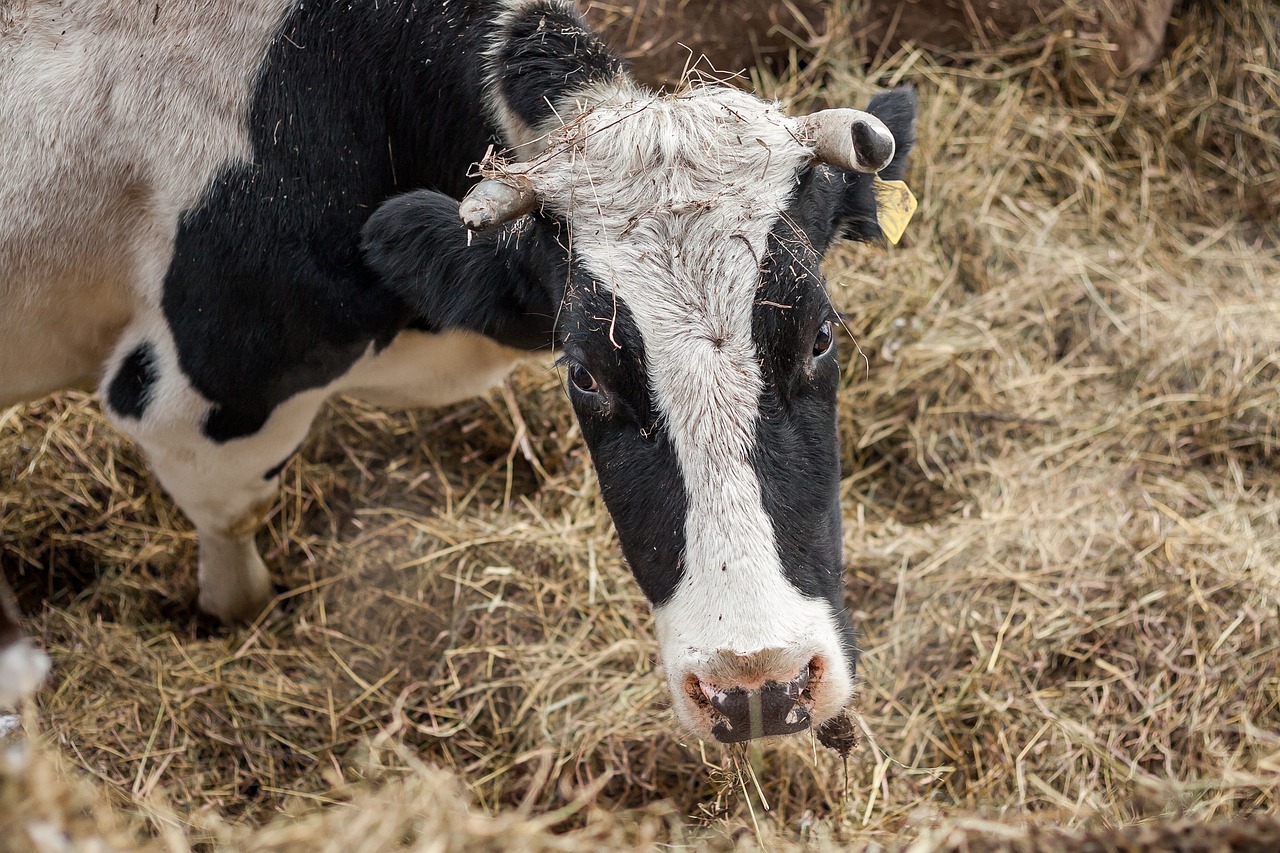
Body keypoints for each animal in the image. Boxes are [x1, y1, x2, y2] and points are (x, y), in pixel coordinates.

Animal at [2, 0, 921, 742]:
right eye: (584, 374)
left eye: (820, 337)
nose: (757, 688)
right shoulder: (197, 396)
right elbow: (234, 523)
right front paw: (238, 616)